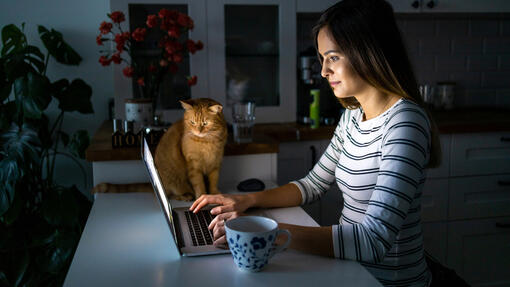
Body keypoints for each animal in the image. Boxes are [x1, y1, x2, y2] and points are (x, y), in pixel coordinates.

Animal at [91, 98, 227, 201]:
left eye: (205, 123)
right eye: (192, 122)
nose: (198, 131)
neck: (207, 141)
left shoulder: (216, 163)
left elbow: (213, 181)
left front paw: (214, 194)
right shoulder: (193, 166)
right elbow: (199, 184)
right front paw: (202, 197)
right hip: (174, 182)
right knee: (171, 195)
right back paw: (186, 196)